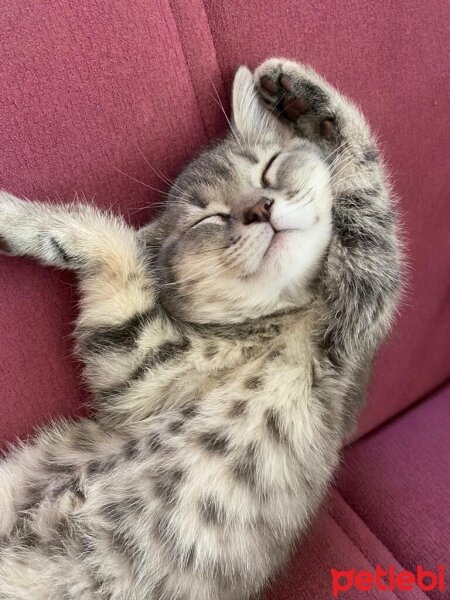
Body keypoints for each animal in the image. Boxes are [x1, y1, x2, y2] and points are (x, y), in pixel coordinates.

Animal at [0, 57, 400, 600]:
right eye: (206, 219)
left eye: (269, 168)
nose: (259, 208)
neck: (281, 322)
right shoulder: (136, 364)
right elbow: (110, 237)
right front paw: (19, 219)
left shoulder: (362, 308)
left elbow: (366, 180)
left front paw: (299, 90)